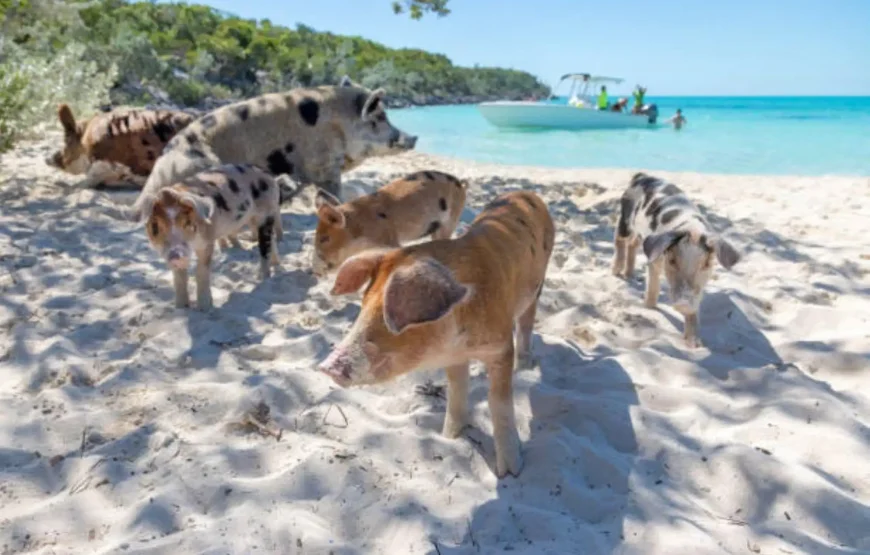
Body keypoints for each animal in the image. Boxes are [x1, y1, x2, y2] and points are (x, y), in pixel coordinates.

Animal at [138, 163, 285, 310]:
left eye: (187, 223)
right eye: (155, 226)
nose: (175, 255)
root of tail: (265, 172)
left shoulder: (207, 241)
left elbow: (201, 271)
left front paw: (204, 308)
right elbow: (179, 277)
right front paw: (180, 307)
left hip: (266, 212)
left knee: (265, 246)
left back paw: (262, 278)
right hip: (255, 218)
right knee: (271, 240)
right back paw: (276, 264)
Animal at [318, 190, 555, 478]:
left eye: (390, 315)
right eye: (363, 305)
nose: (328, 366)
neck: (458, 340)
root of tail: (526, 193)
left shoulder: (501, 348)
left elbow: (498, 404)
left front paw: (510, 472)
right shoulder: (454, 357)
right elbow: (456, 393)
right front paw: (449, 437)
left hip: (537, 286)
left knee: (526, 323)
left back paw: (525, 366)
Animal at [611, 172, 741, 347]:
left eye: (706, 264)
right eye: (672, 261)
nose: (683, 302)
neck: (691, 228)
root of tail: (643, 176)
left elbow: (694, 310)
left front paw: (694, 345)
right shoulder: (656, 258)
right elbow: (653, 285)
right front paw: (649, 307)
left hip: (640, 233)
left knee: (633, 244)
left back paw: (628, 274)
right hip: (625, 216)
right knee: (619, 238)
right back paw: (616, 271)